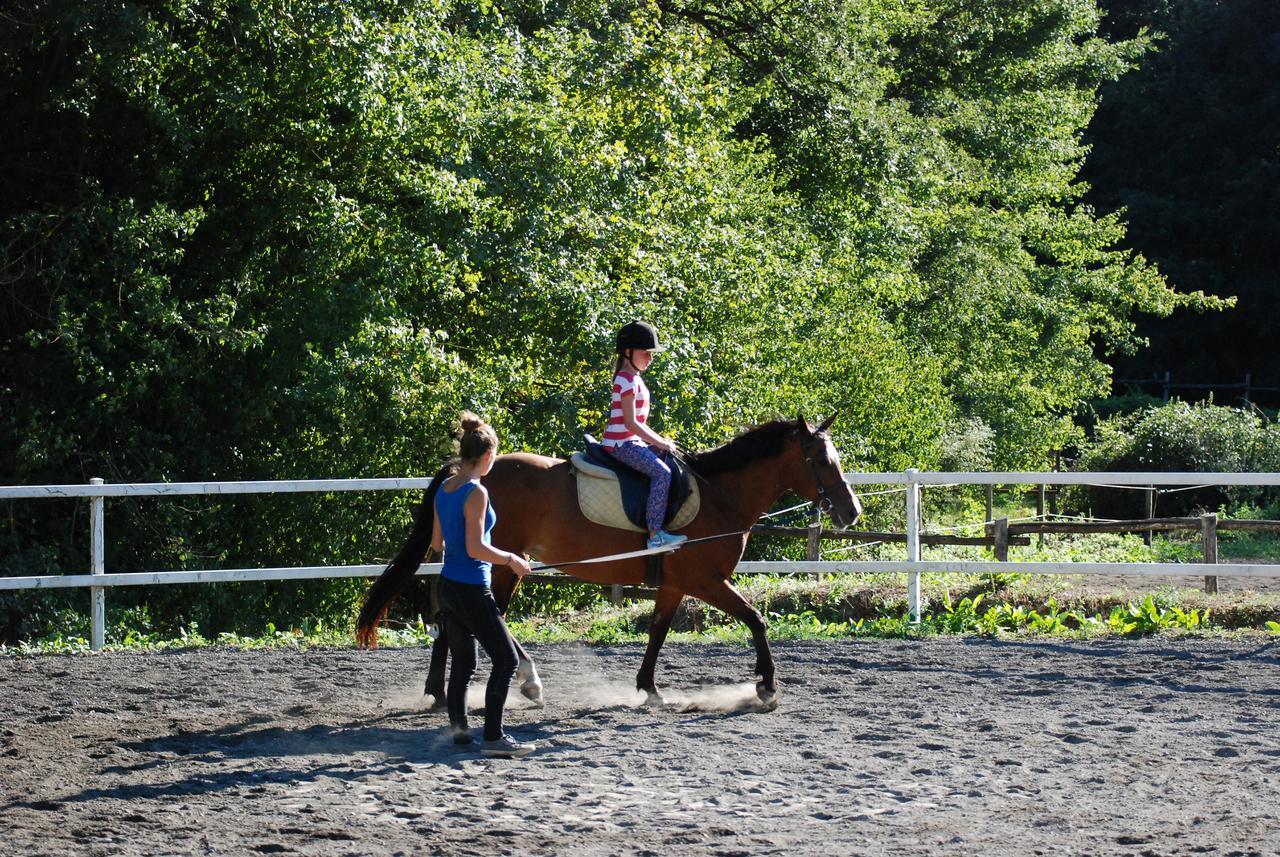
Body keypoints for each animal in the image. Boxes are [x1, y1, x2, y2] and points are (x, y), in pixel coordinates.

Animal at [360, 416, 860, 711]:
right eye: (819, 458)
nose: (851, 512)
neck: (721, 495)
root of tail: (468, 472)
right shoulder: (706, 580)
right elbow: (756, 619)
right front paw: (766, 686)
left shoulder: (676, 584)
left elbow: (658, 630)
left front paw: (649, 689)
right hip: (500, 564)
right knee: (484, 615)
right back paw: (522, 681)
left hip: (504, 564)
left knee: (460, 615)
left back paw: (442, 692)